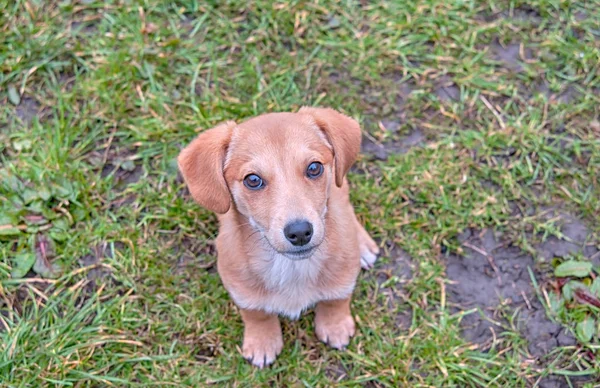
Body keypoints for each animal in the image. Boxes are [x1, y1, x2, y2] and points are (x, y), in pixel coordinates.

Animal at [176, 107, 380, 368]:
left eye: (314, 168)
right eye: (253, 180)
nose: (300, 232)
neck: (290, 267)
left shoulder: (343, 270)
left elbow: (336, 298)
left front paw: (335, 326)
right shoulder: (238, 283)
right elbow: (256, 313)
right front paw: (262, 341)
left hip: (340, 188)